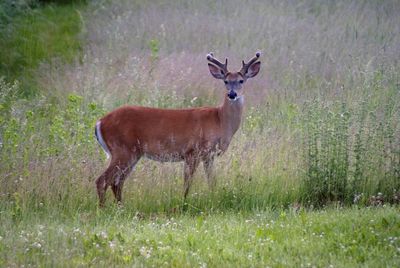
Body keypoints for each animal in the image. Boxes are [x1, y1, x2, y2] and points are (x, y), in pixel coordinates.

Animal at [95, 52, 260, 207]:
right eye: (225, 81)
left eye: (241, 81)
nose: (232, 94)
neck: (219, 120)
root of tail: (100, 122)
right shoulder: (192, 152)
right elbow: (187, 184)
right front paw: (184, 204)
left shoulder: (209, 156)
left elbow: (212, 182)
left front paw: (214, 199)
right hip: (122, 149)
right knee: (103, 180)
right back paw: (104, 209)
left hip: (132, 154)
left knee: (117, 182)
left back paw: (120, 207)